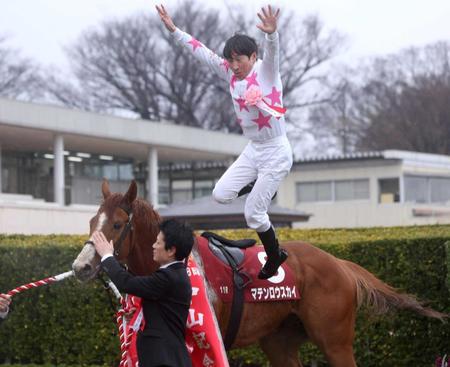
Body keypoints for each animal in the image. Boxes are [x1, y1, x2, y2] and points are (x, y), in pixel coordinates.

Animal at [72, 182, 444, 367]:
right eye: (91, 222)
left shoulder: (206, 341)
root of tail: (340, 264)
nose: (81, 266)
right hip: (280, 341)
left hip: (334, 341)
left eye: (117, 224)